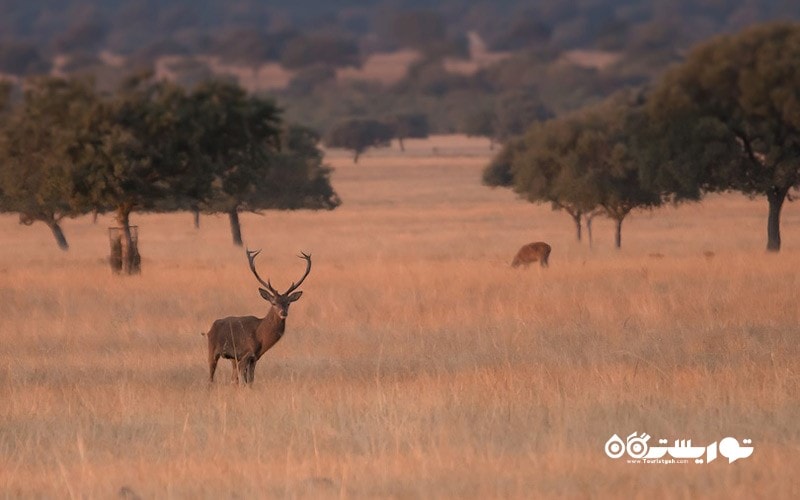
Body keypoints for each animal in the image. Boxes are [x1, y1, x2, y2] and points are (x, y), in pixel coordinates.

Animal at [202, 248, 310, 384]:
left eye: (288, 303)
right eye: (273, 303)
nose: (283, 313)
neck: (260, 336)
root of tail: (211, 328)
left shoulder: (254, 358)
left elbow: (250, 381)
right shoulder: (245, 353)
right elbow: (244, 381)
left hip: (232, 359)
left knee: (232, 378)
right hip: (212, 350)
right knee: (211, 378)